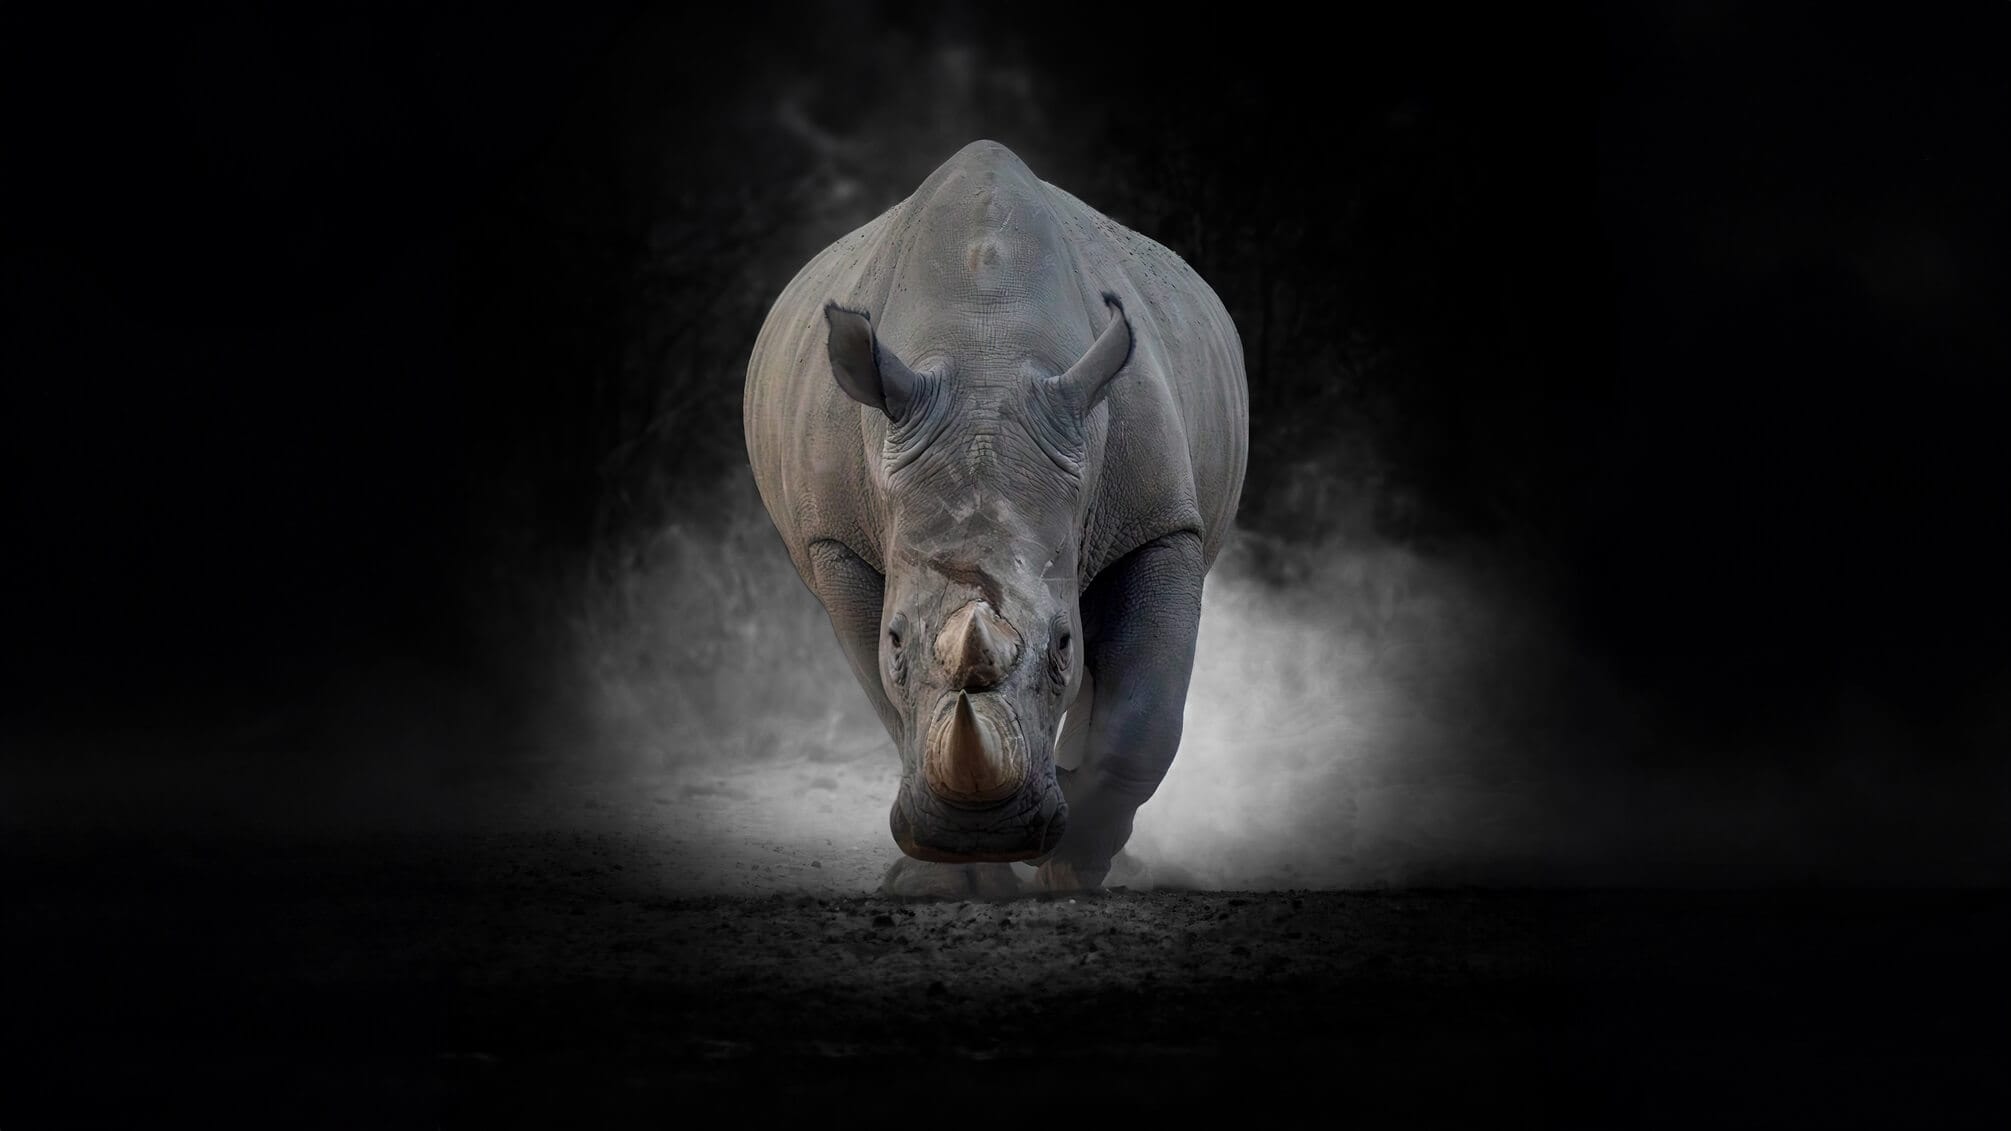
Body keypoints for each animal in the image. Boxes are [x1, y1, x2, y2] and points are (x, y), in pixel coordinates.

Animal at [743, 140, 1248, 897]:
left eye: (1062, 643)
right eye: (895, 639)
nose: (982, 831)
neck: (987, 354)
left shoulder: (1161, 523)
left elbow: (1148, 714)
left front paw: (1072, 861)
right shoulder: (836, 541)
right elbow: (892, 703)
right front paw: (957, 875)